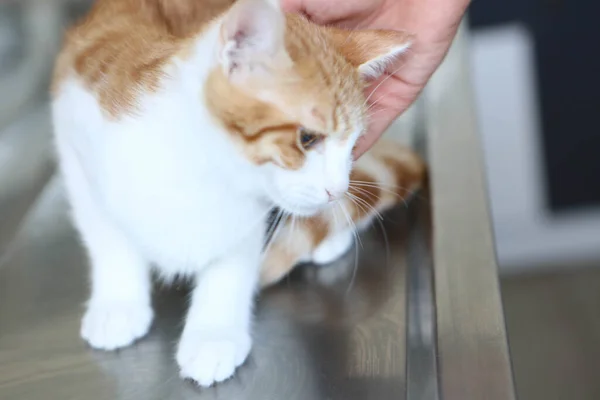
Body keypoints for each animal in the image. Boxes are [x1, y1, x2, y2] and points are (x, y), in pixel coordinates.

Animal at [50, 0, 418, 390]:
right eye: (307, 139)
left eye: (354, 145)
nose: (337, 191)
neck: (204, 169)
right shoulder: (74, 140)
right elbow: (109, 239)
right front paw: (118, 303)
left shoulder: (246, 217)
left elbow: (232, 265)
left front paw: (214, 334)